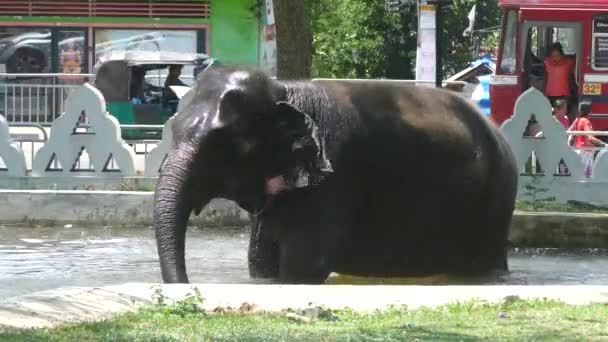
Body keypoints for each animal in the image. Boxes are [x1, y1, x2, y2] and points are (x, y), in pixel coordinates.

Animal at [153, 65, 516, 284]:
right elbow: (260, 263)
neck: (285, 90)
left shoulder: (336, 177)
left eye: (227, 145)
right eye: (172, 129)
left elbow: (303, 269)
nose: (188, 284)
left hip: (496, 200)